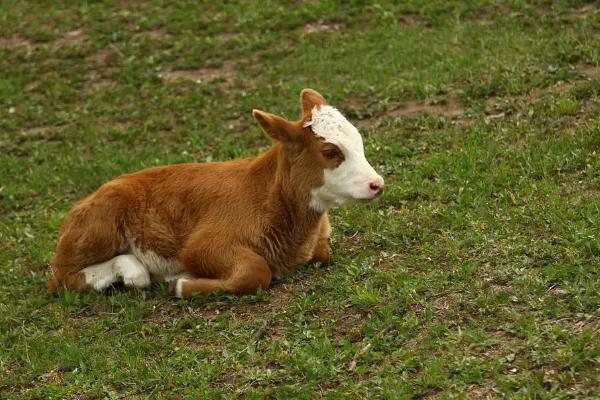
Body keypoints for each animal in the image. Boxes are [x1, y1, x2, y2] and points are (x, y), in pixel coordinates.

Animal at [48, 89, 384, 298]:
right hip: (99, 226)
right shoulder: (202, 246)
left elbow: (323, 253)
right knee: (60, 277)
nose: (377, 184)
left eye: (359, 141)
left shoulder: (319, 241)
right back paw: (132, 270)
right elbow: (255, 271)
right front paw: (180, 284)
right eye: (330, 152)